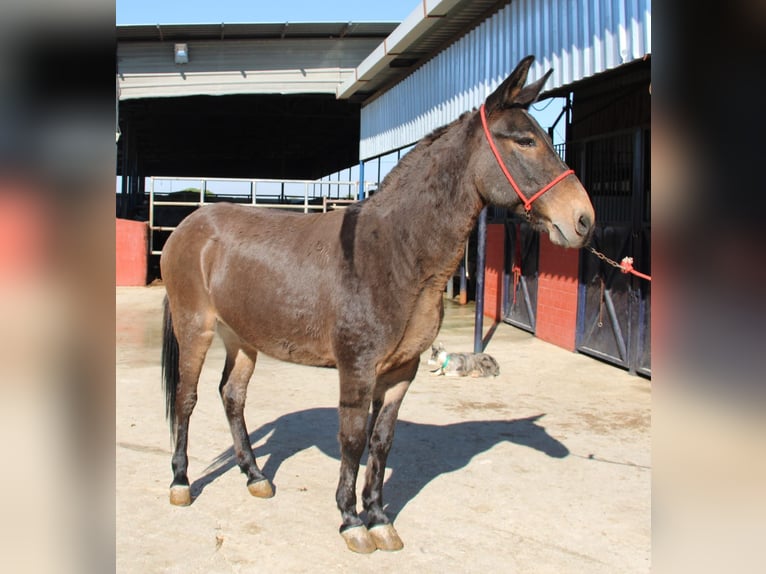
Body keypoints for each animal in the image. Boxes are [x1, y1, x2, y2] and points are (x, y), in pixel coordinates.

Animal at [160, 55, 595, 554]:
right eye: (524, 140)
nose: (584, 220)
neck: (395, 250)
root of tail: (189, 224)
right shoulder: (357, 369)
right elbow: (352, 440)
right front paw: (351, 521)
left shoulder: (401, 372)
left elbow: (381, 442)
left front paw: (380, 518)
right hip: (196, 328)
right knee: (186, 397)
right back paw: (180, 482)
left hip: (242, 336)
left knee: (232, 397)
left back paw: (255, 476)